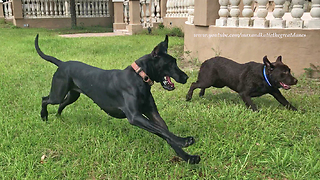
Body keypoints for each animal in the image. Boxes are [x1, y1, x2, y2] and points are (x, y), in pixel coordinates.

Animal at [35, 34, 200, 164]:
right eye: (171, 63)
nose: (186, 77)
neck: (139, 77)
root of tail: (62, 64)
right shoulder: (135, 116)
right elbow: (162, 132)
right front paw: (185, 140)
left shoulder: (153, 114)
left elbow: (165, 133)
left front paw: (189, 157)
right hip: (57, 93)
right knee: (44, 99)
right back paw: (44, 116)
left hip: (72, 95)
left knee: (61, 104)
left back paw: (58, 116)